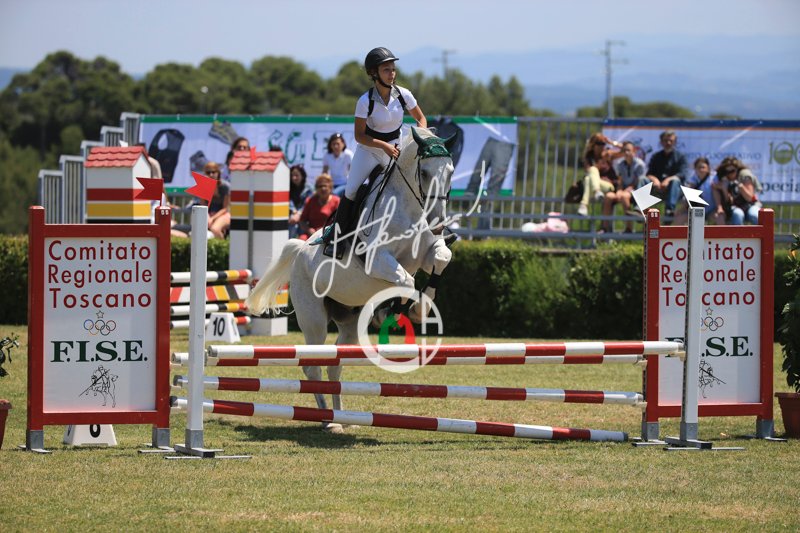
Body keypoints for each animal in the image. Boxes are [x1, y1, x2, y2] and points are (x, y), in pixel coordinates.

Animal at [246, 127, 457, 433]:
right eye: (425, 172)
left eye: (450, 170)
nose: (438, 222)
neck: (407, 208)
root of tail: (299, 251)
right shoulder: (377, 260)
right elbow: (406, 281)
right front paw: (393, 313)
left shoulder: (427, 253)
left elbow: (442, 257)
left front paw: (421, 308)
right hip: (314, 321)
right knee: (312, 365)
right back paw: (326, 419)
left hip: (350, 324)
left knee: (334, 364)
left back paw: (339, 418)